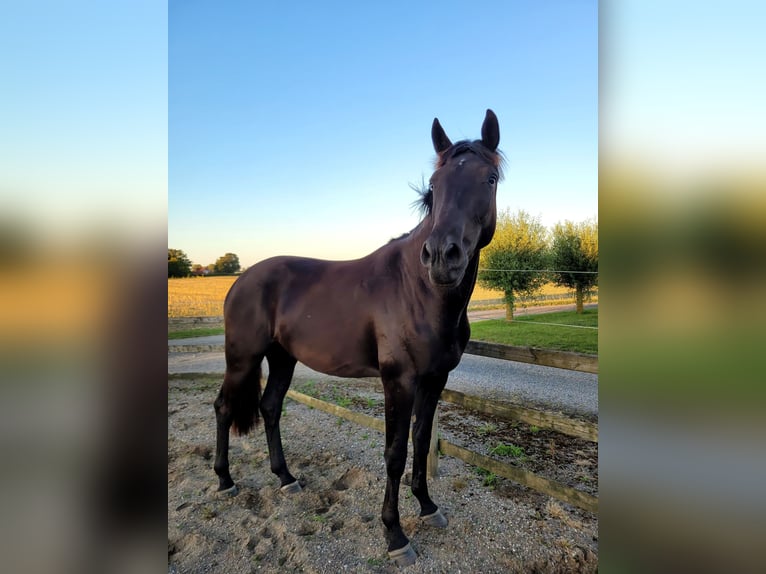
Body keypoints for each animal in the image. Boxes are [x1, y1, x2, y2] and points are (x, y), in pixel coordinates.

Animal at [213, 108, 508, 568]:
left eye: (489, 179)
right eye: (434, 184)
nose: (442, 256)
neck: (419, 289)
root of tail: (241, 279)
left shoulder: (434, 380)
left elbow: (421, 442)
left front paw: (428, 507)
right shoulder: (398, 380)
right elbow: (395, 452)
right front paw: (395, 535)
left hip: (282, 358)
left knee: (270, 407)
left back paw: (286, 478)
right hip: (242, 359)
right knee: (225, 408)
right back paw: (225, 481)